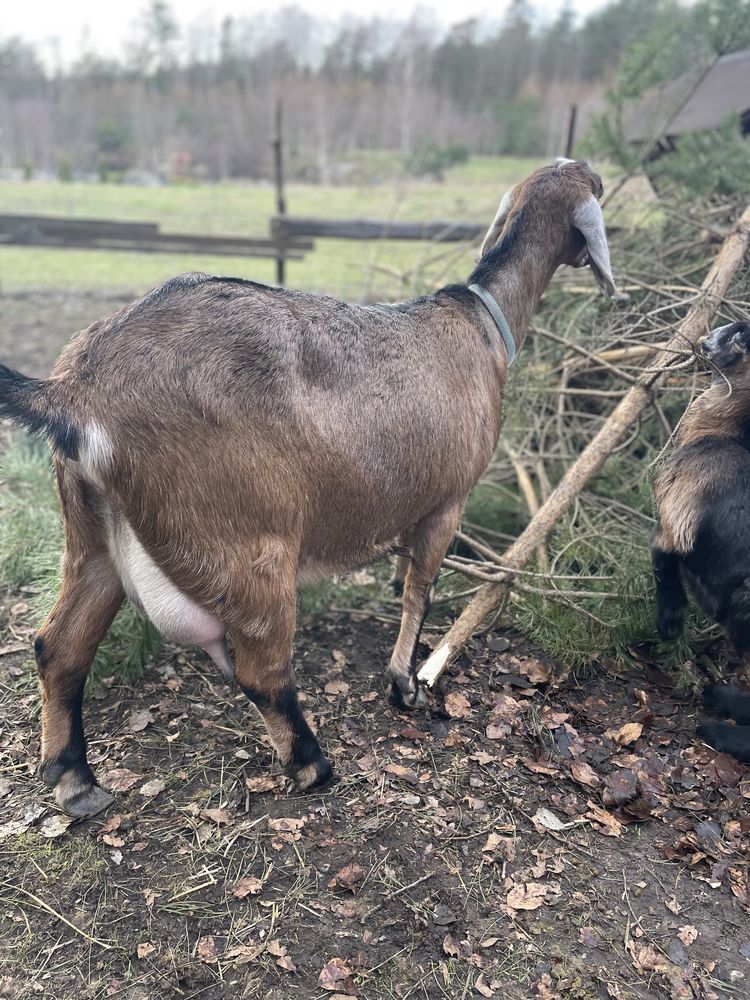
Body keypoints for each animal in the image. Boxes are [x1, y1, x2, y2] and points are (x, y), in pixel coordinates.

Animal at [0, 158, 616, 812]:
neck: (480, 324)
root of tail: (76, 391)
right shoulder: (447, 502)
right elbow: (418, 591)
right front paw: (405, 685)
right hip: (249, 542)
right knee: (261, 669)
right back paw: (311, 765)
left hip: (91, 532)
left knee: (59, 646)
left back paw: (74, 780)